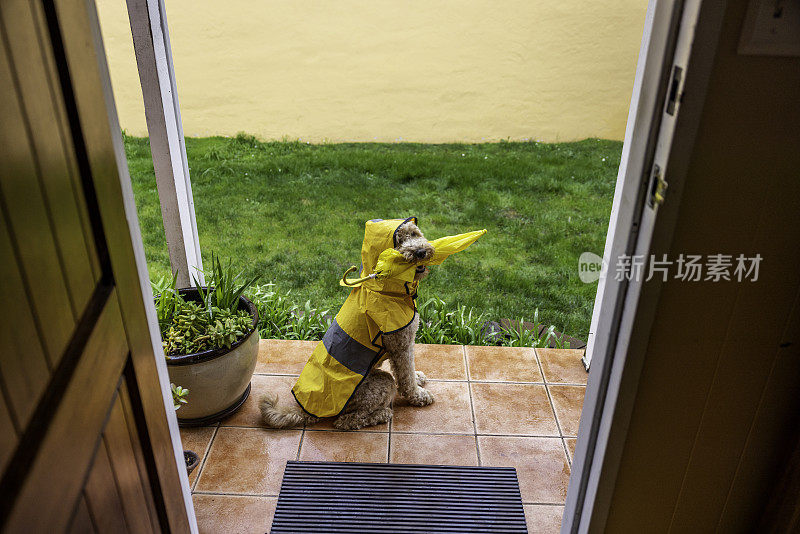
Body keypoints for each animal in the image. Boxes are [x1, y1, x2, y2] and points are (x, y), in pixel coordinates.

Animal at [260, 220, 438, 434]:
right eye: (397, 242)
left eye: (413, 234)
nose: (420, 252)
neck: (388, 291)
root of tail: (307, 411)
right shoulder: (400, 345)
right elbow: (406, 376)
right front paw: (418, 395)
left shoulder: (407, 341)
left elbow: (411, 367)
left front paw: (417, 376)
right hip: (379, 384)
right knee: (346, 421)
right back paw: (383, 414)